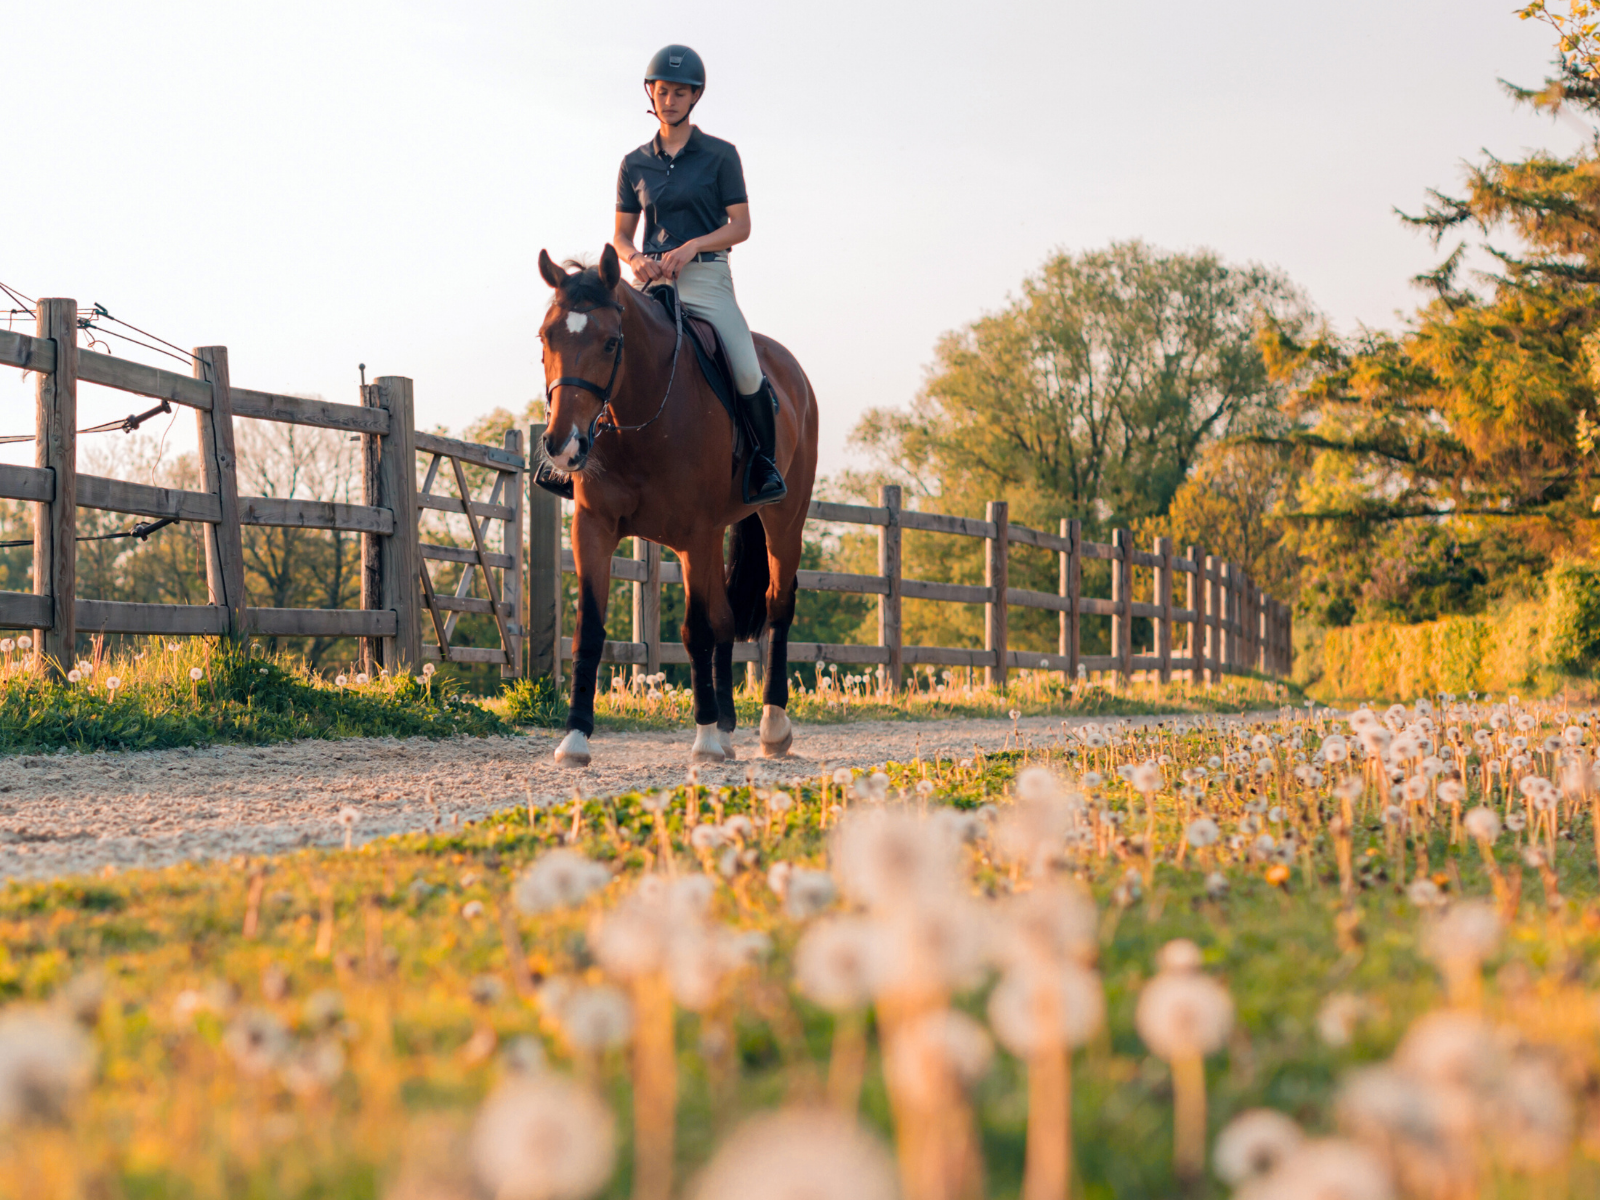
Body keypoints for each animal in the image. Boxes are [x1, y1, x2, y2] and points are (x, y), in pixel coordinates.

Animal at [536, 244, 819, 766]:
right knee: (728, 619)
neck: (643, 414)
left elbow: (695, 631)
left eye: (611, 343)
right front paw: (576, 737)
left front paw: (703, 738)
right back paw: (727, 729)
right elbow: (590, 628)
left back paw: (772, 727)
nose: (562, 445)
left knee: (777, 606)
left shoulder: (694, 536)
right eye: (546, 337)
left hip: (784, 521)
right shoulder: (593, 528)